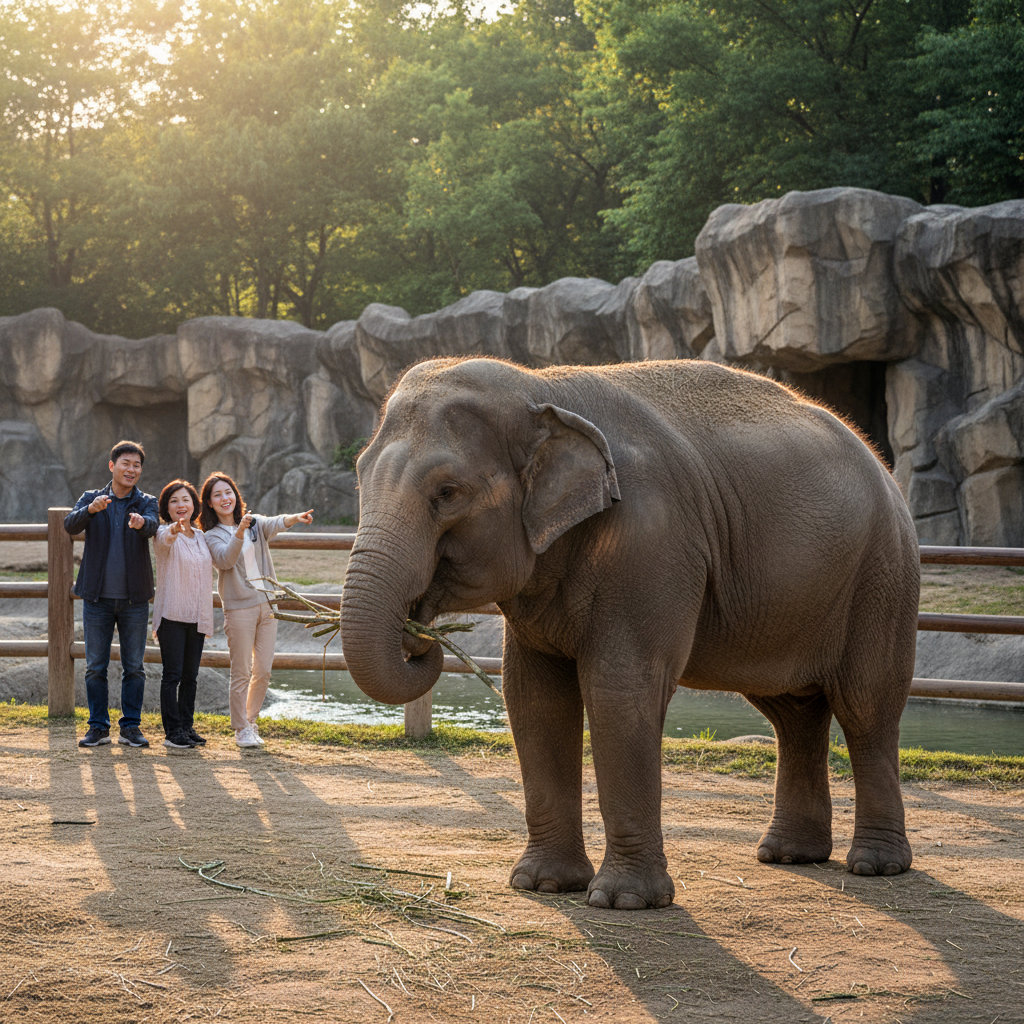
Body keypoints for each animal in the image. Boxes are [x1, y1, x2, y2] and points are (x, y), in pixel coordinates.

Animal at [339, 356, 920, 910]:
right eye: (360, 476)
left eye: (447, 491)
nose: (418, 631)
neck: (541, 386)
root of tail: (883, 465)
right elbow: (533, 696)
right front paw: (541, 885)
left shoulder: (651, 539)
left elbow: (619, 689)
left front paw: (623, 901)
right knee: (792, 712)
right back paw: (789, 855)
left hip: (883, 575)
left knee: (867, 706)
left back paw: (874, 865)